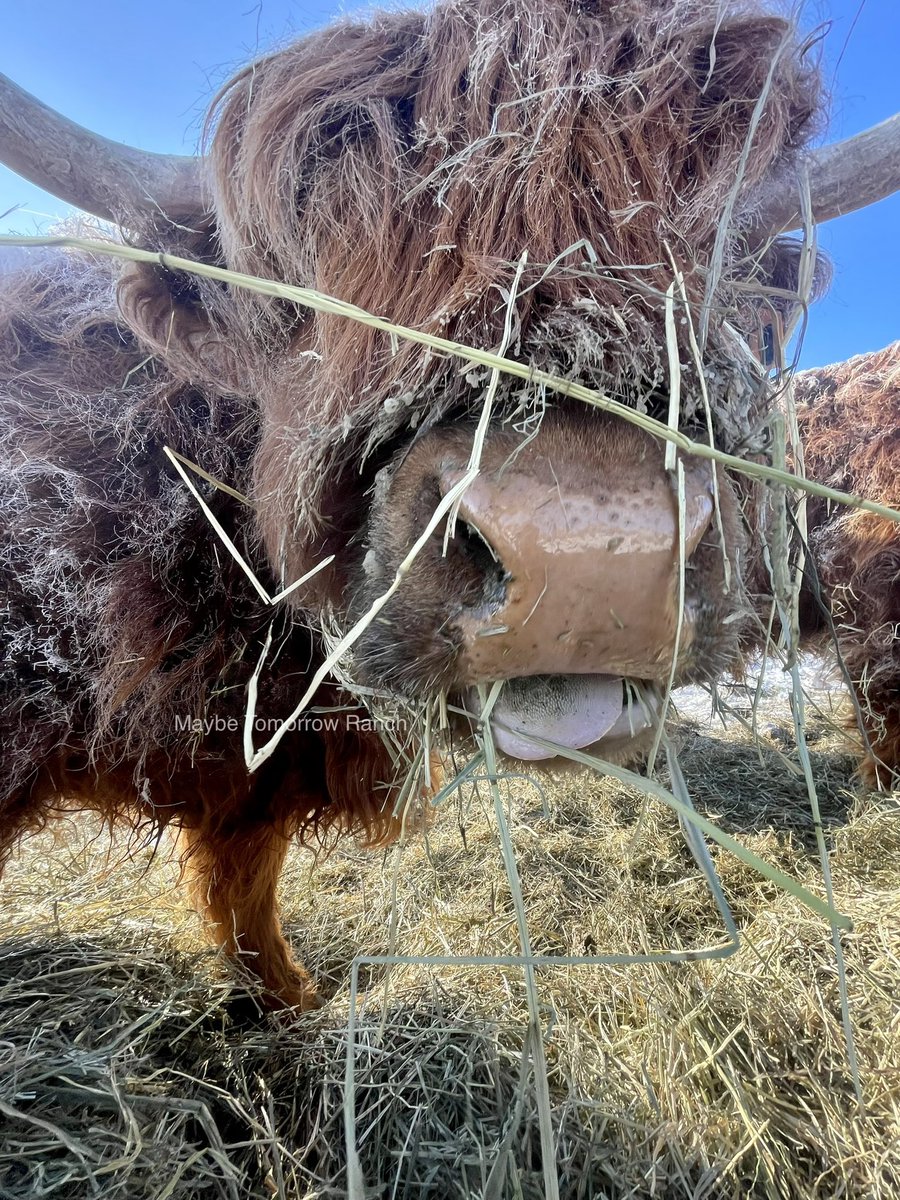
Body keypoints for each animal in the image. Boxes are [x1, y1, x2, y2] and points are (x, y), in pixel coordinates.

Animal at [1, 0, 900, 1012]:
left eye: (730, 263)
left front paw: (287, 998)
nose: (591, 559)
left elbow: (244, 872)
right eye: (294, 295)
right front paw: (295, 1001)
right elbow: (241, 876)